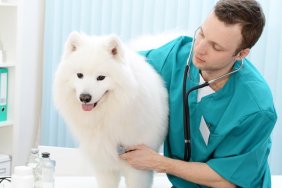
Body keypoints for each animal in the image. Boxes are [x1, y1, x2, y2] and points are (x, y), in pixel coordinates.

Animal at [52, 31, 167, 187]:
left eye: (101, 77)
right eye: (79, 75)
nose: (84, 97)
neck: (106, 116)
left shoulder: (138, 168)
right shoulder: (103, 164)